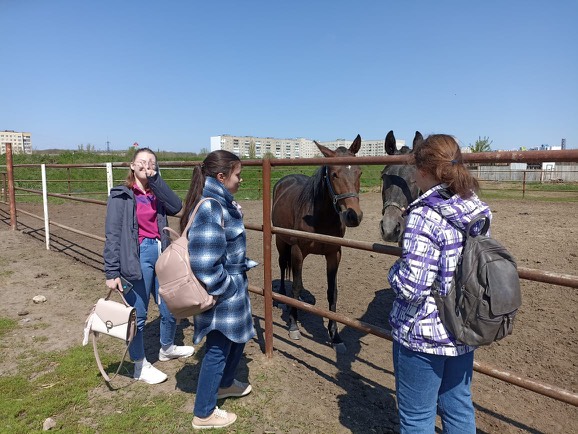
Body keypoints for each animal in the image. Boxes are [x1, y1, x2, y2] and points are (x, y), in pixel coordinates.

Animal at [272, 136, 362, 352]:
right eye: (334, 174)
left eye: (359, 172)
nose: (353, 215)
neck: (320, 217)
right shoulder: (297, 251)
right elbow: (296, 286)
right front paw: (293, 325)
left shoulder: (334, 254)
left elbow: (332, 292)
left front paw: (335, 336)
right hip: (280, 241)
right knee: (282, 266)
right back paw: (282, 297)